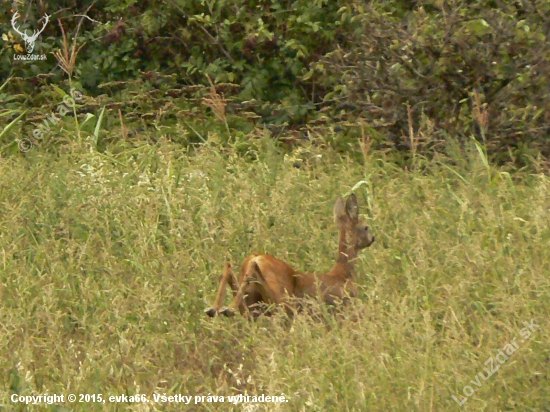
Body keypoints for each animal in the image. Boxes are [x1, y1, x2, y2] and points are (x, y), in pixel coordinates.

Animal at [205, 194, 378, 318]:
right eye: (366, 227)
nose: (373, 238)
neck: (343, 274)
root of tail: (253, 258)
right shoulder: (345, 304)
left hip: (254, 303)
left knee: (229, 268)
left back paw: (215, 309)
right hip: (282, 299)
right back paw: (227, 309)